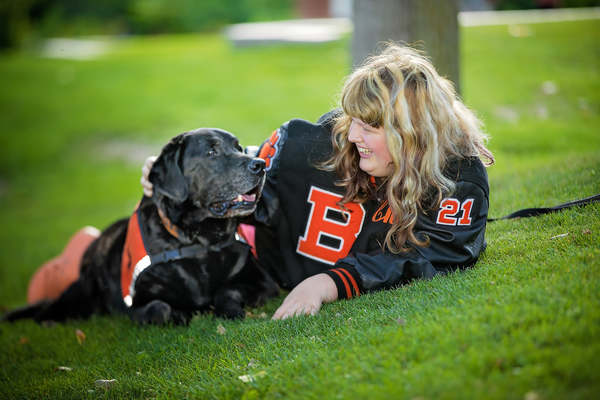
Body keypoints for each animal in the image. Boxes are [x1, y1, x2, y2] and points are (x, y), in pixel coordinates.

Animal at [2, 128, 278, 324]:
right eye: (212, 152)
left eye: (239, 147)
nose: (260, 165)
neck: (198, 243)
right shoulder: (132, 306)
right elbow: (160, 307)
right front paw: (180, 314)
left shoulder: (264, 283)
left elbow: (227, 290)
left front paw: (228, 310)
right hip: (79, 291)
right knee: (46, 313)